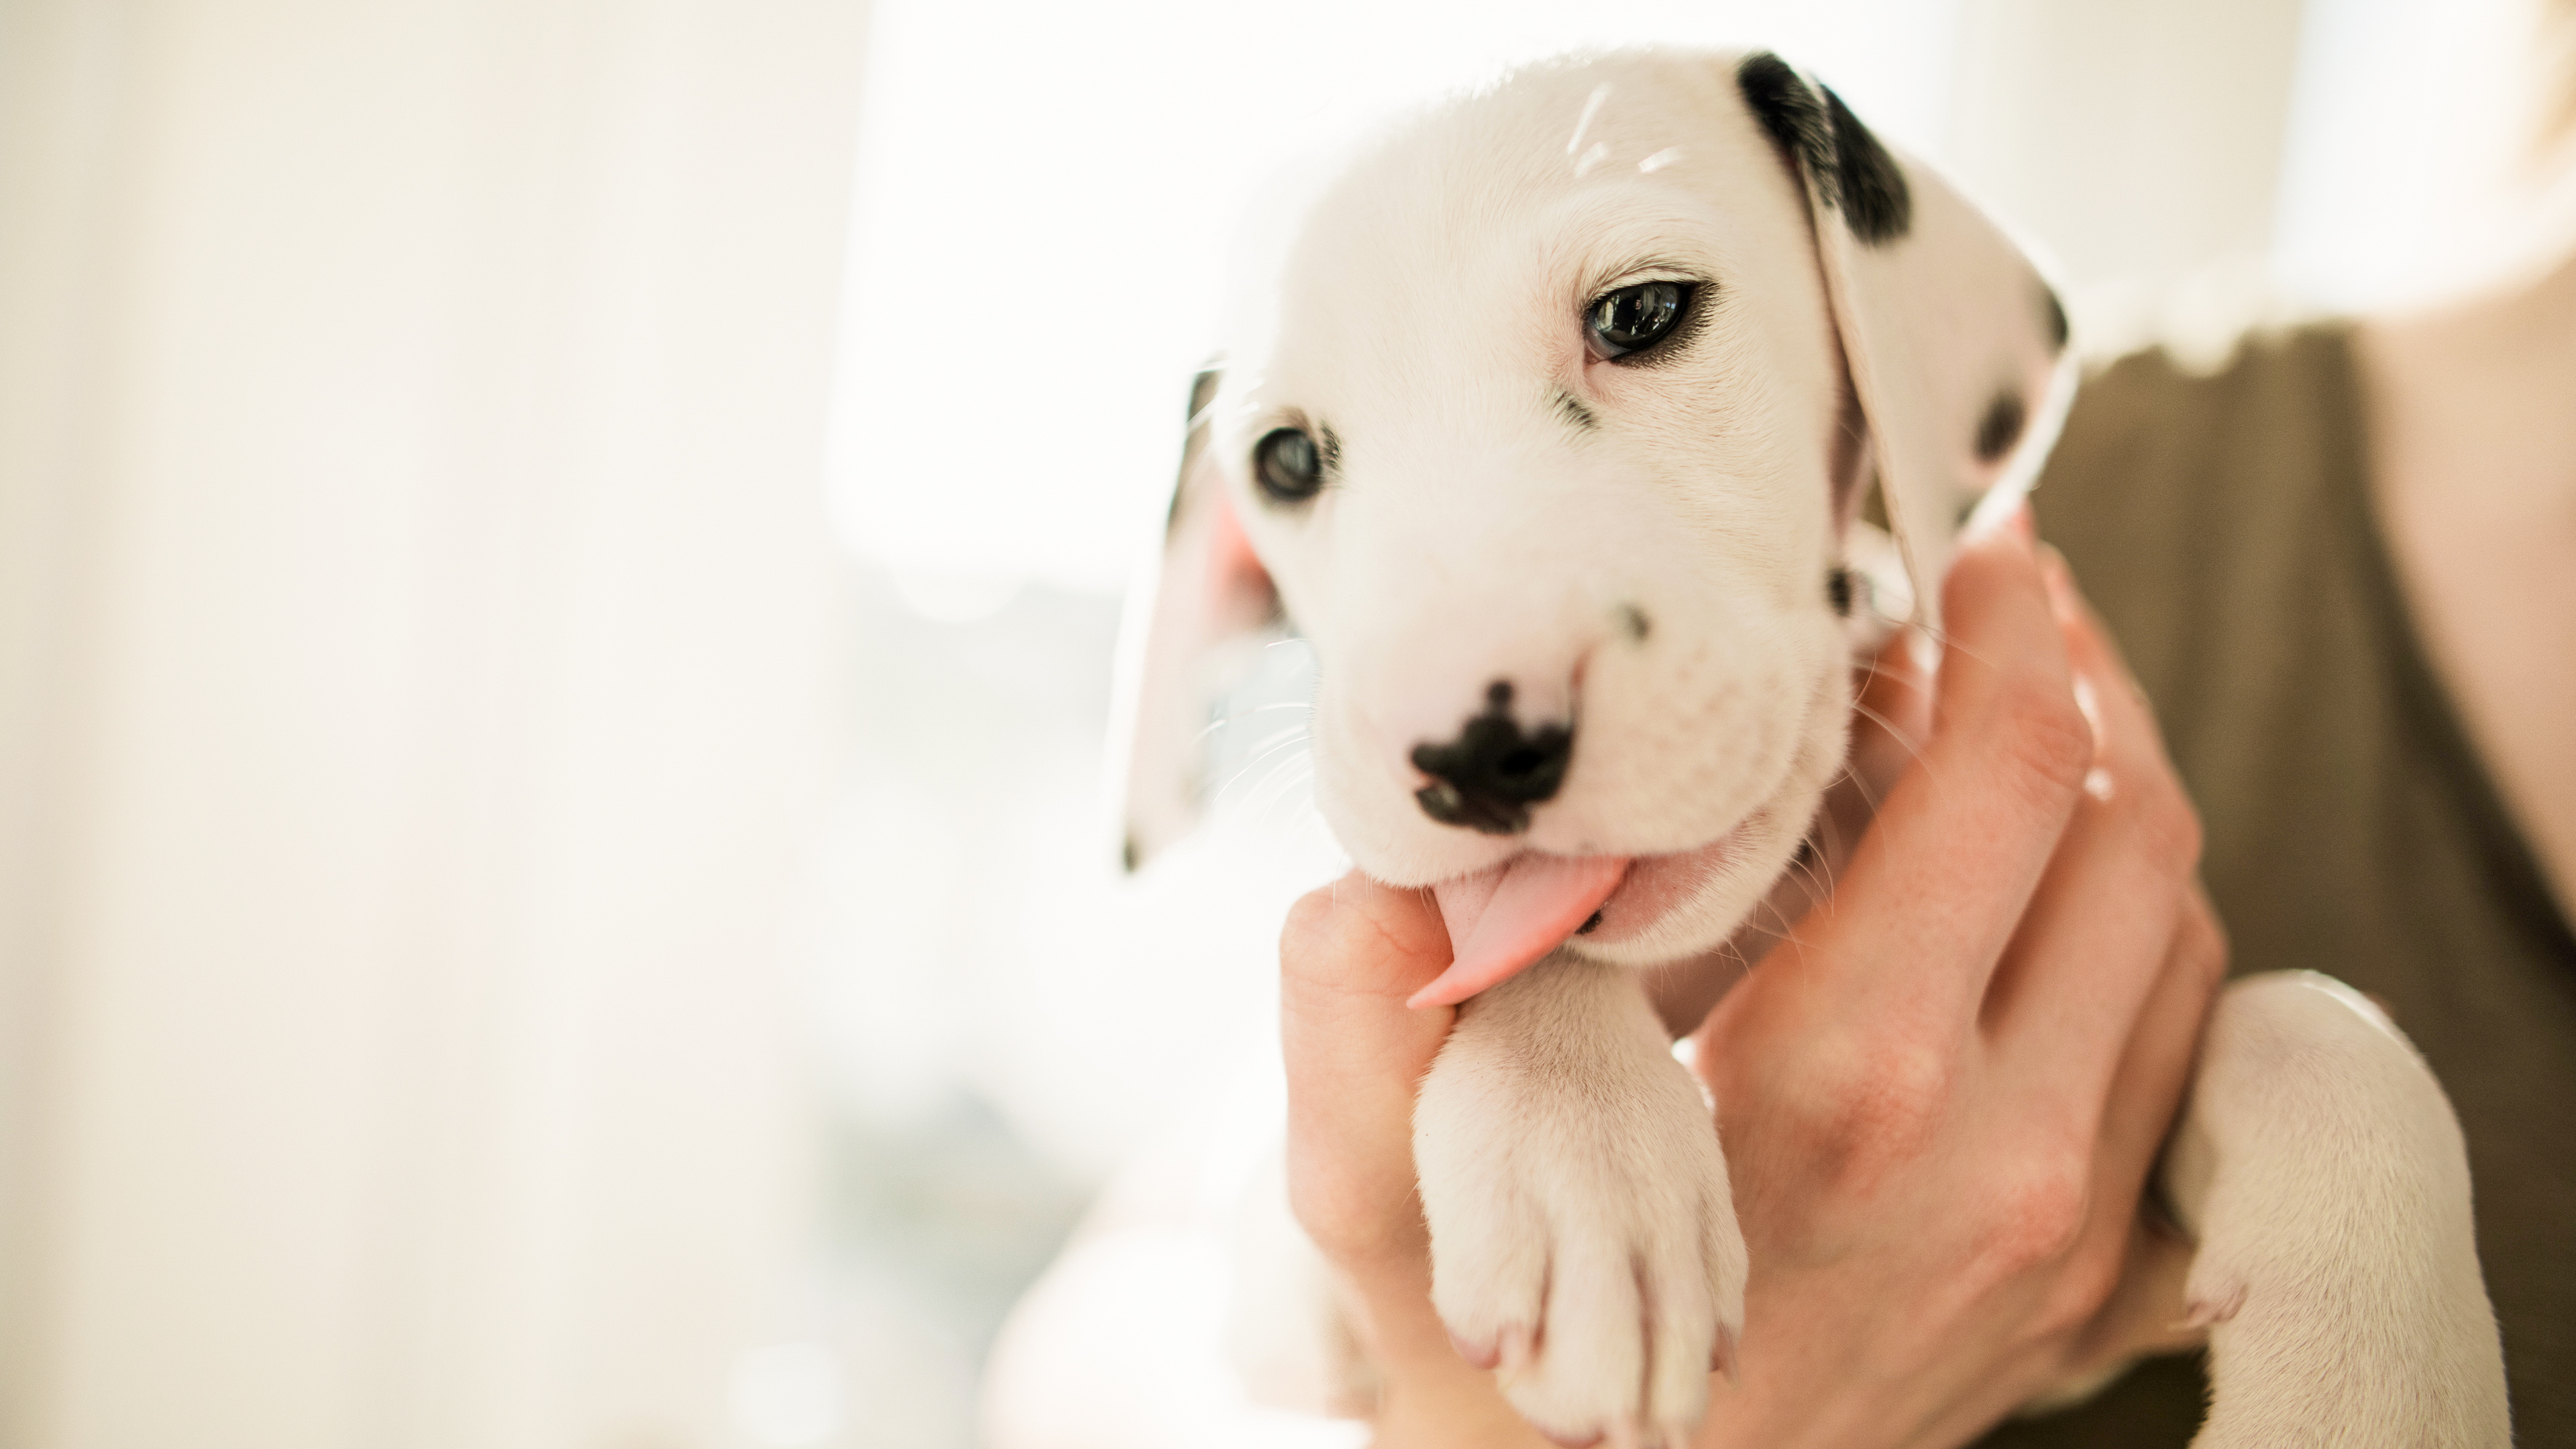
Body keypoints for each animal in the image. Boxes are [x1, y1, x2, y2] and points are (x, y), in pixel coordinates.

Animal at [1118, 45, 2504, 1444]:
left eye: (1641, 314)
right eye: (1288, 460)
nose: (1468, 754)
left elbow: (2321, 1021)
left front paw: (2372, 1382)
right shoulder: (1277, 1296)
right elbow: (1517, 952)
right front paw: (1581, 1145)